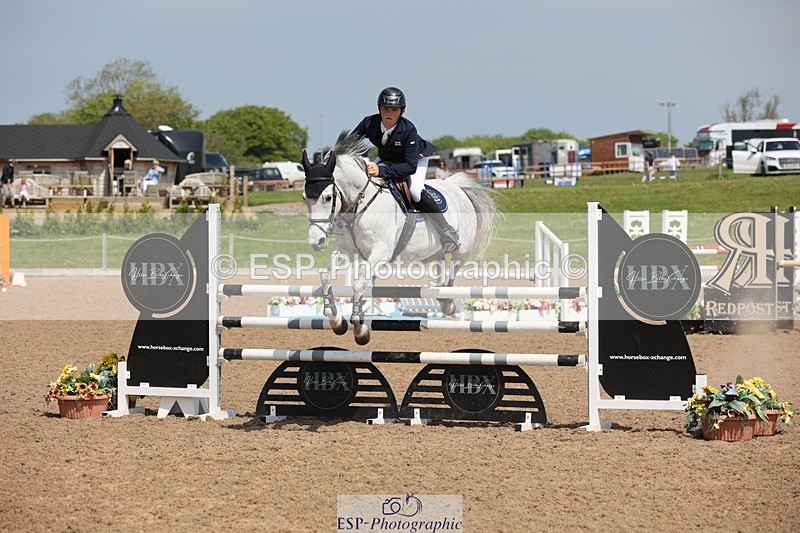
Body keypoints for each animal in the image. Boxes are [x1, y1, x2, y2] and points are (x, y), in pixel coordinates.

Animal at [302, 131, 499, 345]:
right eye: (304, 197)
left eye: (328, 197)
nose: (316, 241)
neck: (360, 203)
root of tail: (455, 186)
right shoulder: (346, 251)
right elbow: (325, 275)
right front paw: (336, 320)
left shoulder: (380, 252)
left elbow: (359, 283)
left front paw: (360, 329)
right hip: (430, 252)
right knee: (439, 270)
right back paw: (442, 298)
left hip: (462, 249)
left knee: (454, 268)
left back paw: (448, 302)